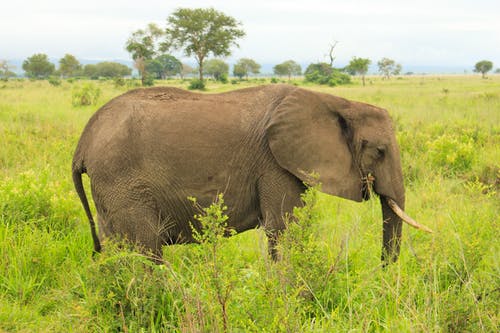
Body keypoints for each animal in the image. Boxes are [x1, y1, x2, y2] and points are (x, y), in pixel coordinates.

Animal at [72, 84, 432, 264]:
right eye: (379, 151)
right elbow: (284, 230)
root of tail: (83, 142)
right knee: (145, 249)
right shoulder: (273, 163)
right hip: (122, 181)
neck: (335, 101)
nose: (383, 270)